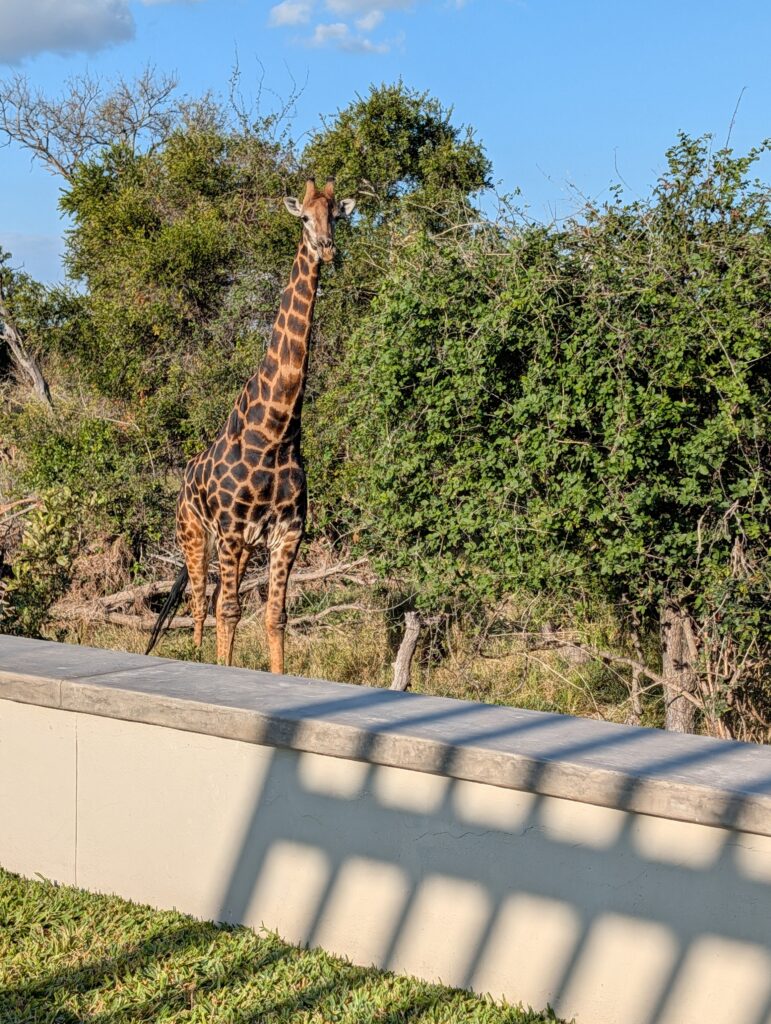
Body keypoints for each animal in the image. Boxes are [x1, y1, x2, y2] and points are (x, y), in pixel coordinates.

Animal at [146, 178, 355, 670]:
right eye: (304, 217)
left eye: (337, 215)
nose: (326, 248)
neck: (277, 432)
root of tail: (184, 478)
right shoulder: (232, 532)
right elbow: (228, 610)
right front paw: (222, 670)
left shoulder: (286, 534)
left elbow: (275, 617)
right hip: (195, 535)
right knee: (201, 599)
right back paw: (197, 653)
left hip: (234, 547)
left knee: (217, 597)